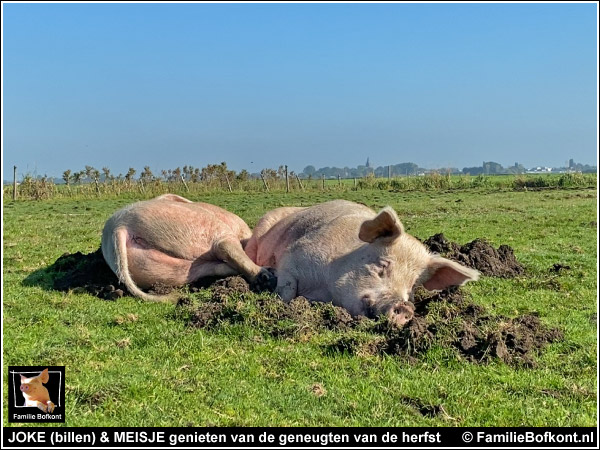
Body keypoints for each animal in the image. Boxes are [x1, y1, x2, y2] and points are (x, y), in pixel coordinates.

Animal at [101, 194, 274, 302]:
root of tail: (120, 227)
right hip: (198, 225)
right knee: (223, 247)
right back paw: (267, 276)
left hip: (157, 269)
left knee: (212, 267)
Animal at [244, 200, 478, 324]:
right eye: (382, 266)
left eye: (412, 287)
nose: (405, 306)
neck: (326, 288)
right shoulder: (293, 256)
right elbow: (287, 287)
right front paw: (280, 302)